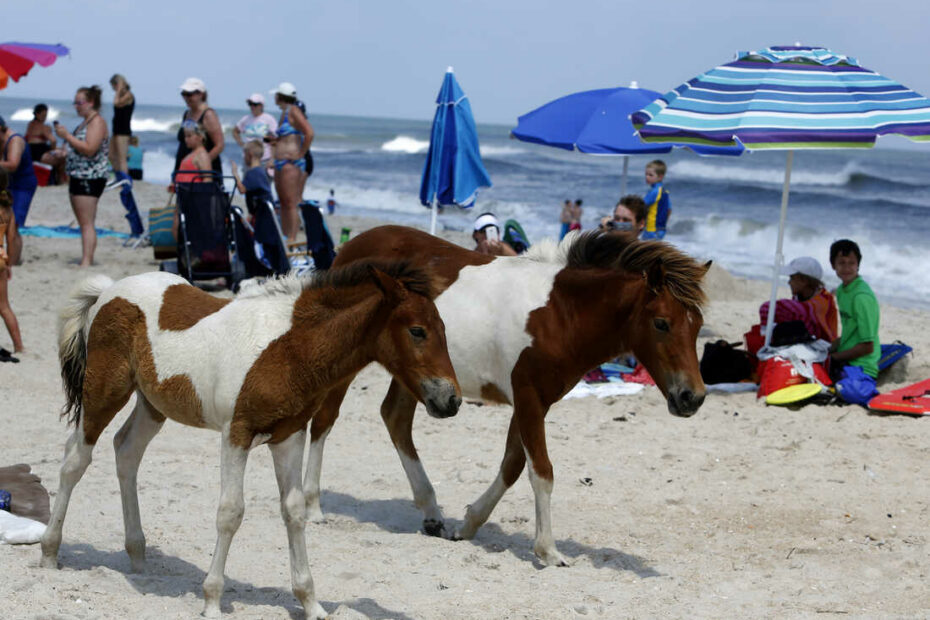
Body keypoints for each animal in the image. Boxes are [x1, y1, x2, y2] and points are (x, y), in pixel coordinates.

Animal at [40, 264, 460, 616]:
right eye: (417, 331)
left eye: (444, 329)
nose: (451, 400)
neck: (290, 348)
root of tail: (110, 290)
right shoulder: (235, 435)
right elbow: (230, 513)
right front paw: (211, 601)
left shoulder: (290, 436)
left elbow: (294, 511)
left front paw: (311, 604)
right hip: (104, 393)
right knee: (75, 459)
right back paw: (49, 552)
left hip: (153, 405)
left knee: (126, 451)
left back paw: (139, 559)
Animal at [304, 226, 712, 568]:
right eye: (661, 323)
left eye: (697, 327)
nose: (692, 397)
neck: (562, 314)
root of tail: (352, 248)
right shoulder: (528, 396)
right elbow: (541, 471)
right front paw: (548, 550)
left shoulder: (535, 401)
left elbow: (513, 465)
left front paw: (467, 525)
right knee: (324, 420)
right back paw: (312, 508)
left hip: (415, 376)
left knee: (395, 419)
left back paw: (432, 513)